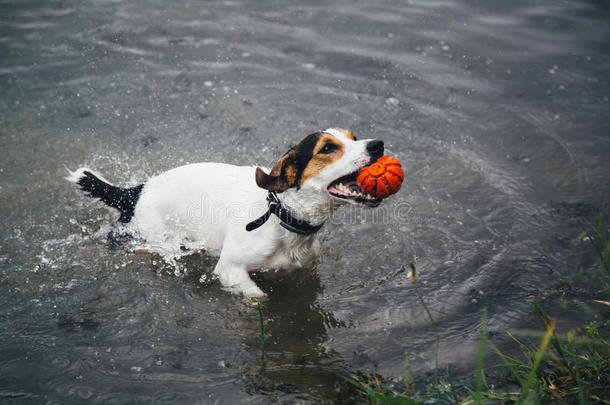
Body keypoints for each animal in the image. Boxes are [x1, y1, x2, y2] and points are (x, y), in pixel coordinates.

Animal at [67, 128, 384, 298]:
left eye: (354, 136)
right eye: (328, 148)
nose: (378, 144)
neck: (279, 214)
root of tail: (134, 192)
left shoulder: (302, 270)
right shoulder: (230, 270)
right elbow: (259, 298)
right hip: (153, 238)